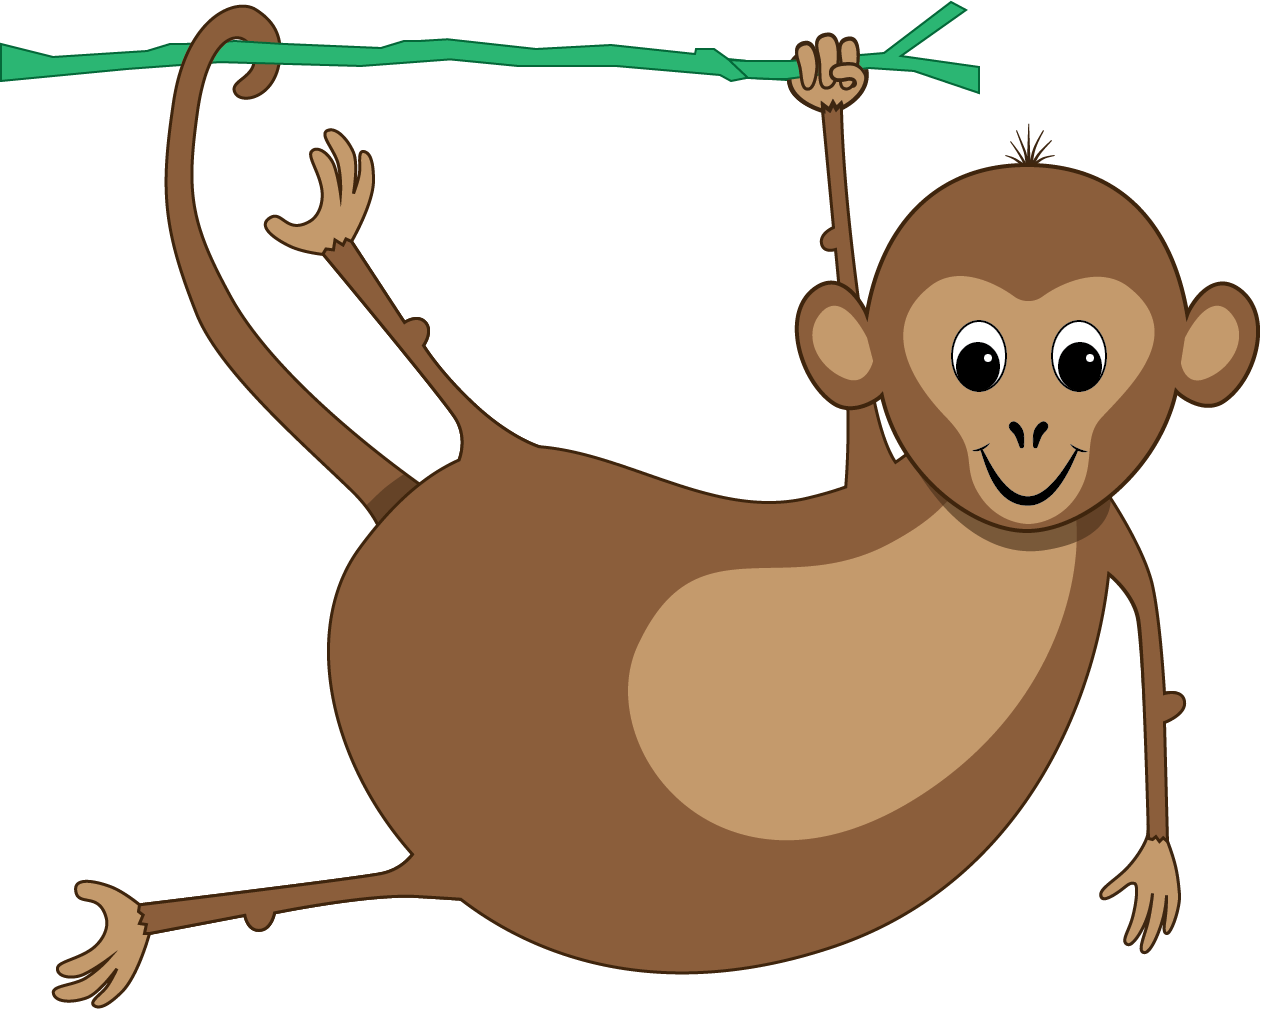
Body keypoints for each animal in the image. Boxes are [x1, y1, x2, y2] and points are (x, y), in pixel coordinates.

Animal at [39, 6, 1256, 1004]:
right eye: (976, 359)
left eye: (1083, 361)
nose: (1029, 435)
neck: (992, 528)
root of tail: (395, 504)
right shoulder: (919, 481)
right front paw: (828, 85)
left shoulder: (1105, 537)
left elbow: (1149, 654)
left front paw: (1155, 868)